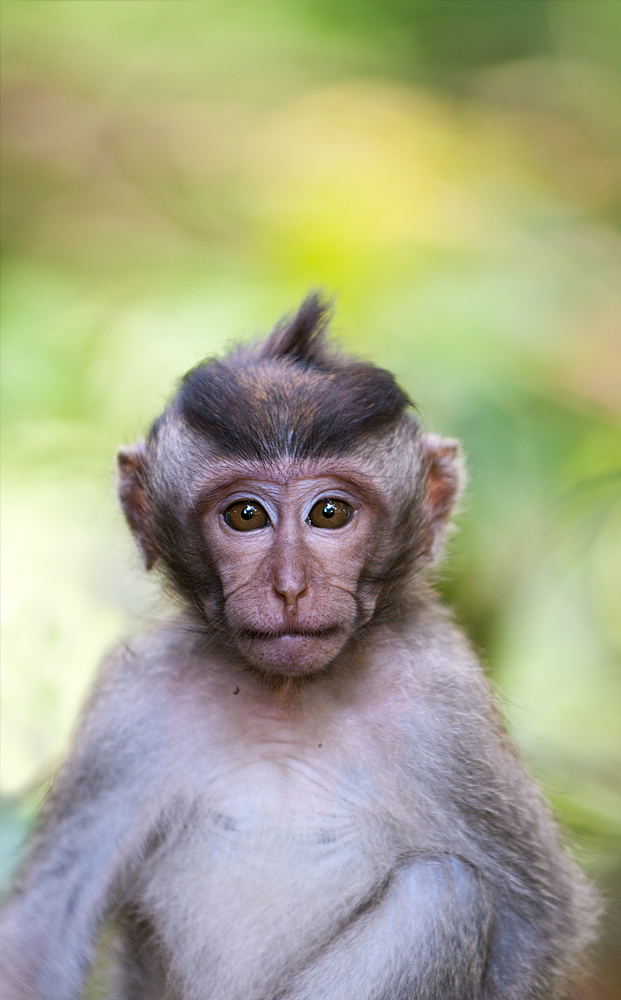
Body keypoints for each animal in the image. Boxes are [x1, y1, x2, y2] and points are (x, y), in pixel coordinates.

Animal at [1, 294, 600, 1000]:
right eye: (246, 516)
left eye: (330, 514)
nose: (290, 587)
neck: (286, 700)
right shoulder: (128, 712)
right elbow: (36, 937)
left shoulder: (447, 710)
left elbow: (535, 923)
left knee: (443, 890)